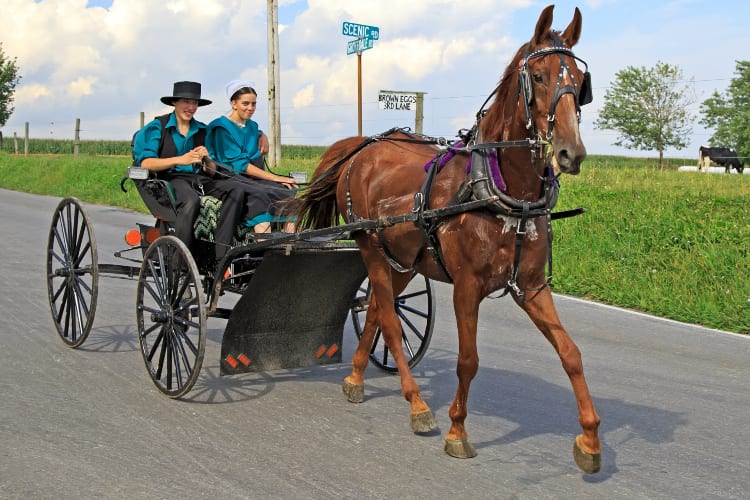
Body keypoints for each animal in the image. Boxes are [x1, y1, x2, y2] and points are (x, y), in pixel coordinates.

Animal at [294, 3, 604, 472]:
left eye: (580, 81)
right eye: (540, 75)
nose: (571, 152)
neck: (501, 190)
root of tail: (362, 147)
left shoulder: (531, 286)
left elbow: (572, 354)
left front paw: (589, 439)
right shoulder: (466, 287)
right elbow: (467, 360)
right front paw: (457, 430)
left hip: (404, 260)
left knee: (378, 310)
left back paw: (355, 377)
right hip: (371, 247)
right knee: (387, 317)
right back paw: (417, 404)